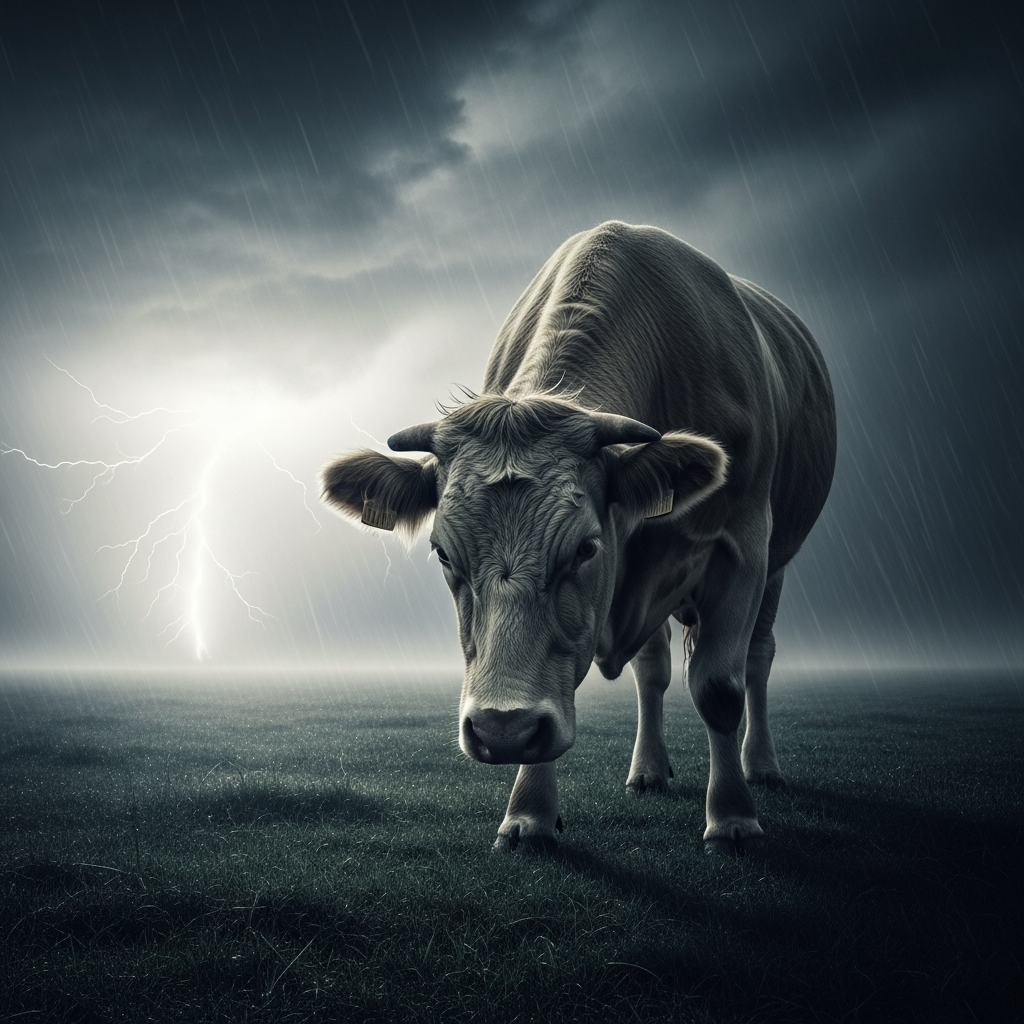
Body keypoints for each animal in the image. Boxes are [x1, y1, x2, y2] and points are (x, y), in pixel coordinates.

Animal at [321, 221, 836, 855]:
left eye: (586, 547)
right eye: (442, 552)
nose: (500, 729)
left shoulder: (741, 546)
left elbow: (719, 686)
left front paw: (733, 819)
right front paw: (528, 816)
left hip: (778, 562)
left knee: (757, 659)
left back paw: (760, 765)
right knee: (652, 670)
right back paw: (648, 771)